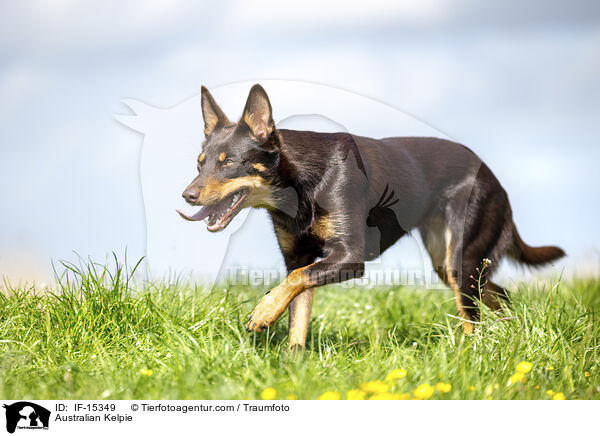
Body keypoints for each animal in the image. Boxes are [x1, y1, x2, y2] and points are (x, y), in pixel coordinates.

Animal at [178, 83, 564, 346]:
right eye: (200, 164)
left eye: (229, 163)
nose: (187, 196)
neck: (300, 182)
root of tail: (494, 178)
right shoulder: (299, 258)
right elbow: (297, 317)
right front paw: (292, 367)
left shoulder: (349, 257)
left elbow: (292, 283)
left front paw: (264, 311)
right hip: (449, 263)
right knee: (499, 295)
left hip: (461, 258)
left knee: (474, 315)